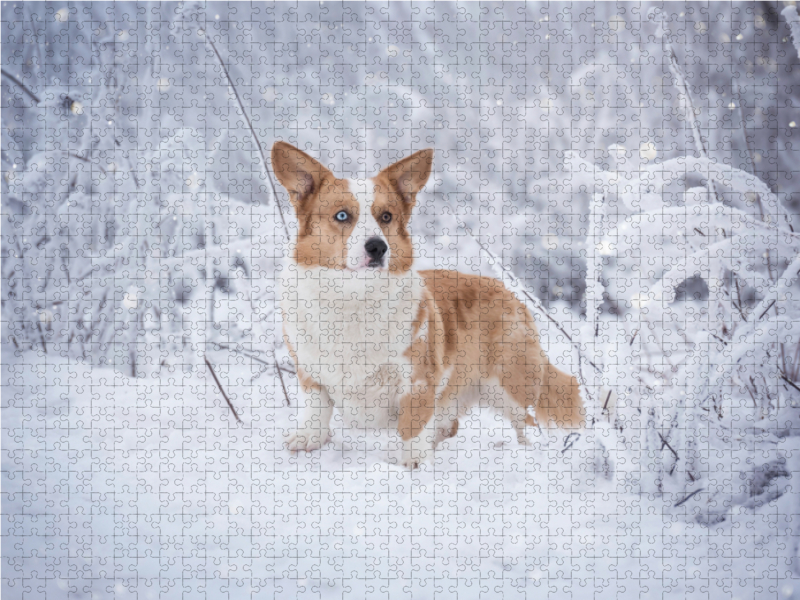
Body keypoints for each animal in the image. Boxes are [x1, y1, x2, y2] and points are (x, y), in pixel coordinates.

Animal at [272, 142, 584, 468]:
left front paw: (413, 463)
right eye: (342, 215)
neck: (354, 297)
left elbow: (413, 424)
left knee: (527, 422)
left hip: (509, 384)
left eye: (386, 216)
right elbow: (316, 408)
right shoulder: (310, 371)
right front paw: (308, 439)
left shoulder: (418, 379)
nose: (378, 247)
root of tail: (510, 292)